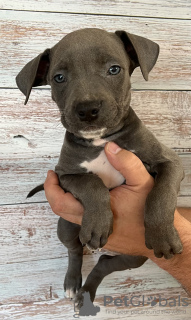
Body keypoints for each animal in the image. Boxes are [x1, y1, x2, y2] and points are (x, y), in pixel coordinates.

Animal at [16, 28, 184, 306]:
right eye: (59, 77)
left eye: (114, 69)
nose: (87, 109)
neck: (100, 139)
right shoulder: (65, 175)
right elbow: (92, 182)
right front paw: (97, 224)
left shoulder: (170, 160)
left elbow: (161, 193)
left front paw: (162, 235)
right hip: (66, 226)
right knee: (75, 251)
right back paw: (74, 284)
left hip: (137, 255)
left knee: (104, 264)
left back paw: (87, 292)